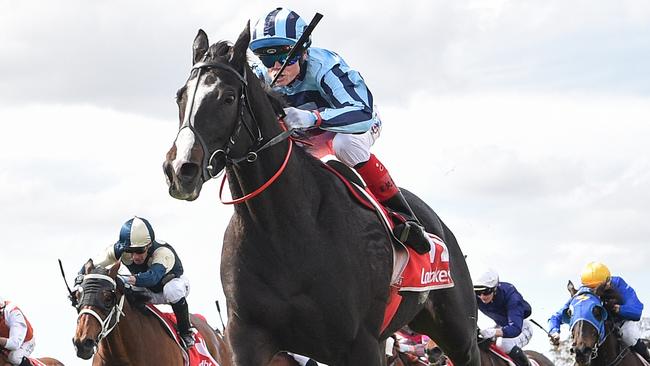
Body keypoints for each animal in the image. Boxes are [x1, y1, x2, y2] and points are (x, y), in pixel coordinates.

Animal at [161, 23, 476, 366]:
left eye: (228, 97)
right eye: (180, 96)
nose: (180, 169)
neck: (284, 230)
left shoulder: (360, 342)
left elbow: (357, 108)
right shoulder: (247, 338)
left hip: (459, 334)